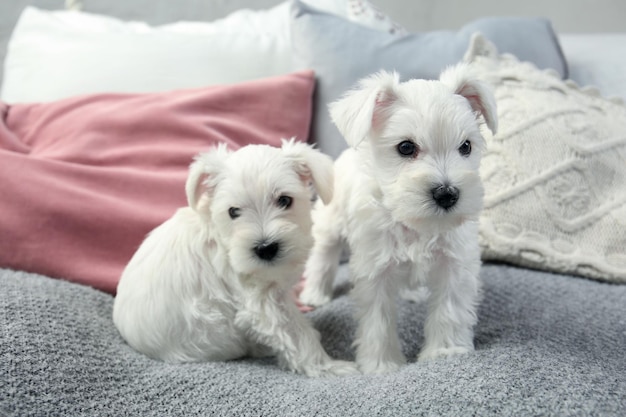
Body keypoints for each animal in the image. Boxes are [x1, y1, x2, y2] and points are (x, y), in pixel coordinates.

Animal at [112, 140, 356, 376]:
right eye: (233, 211)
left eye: (285, 200)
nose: (266, 248)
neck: (221, 238)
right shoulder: (263, 303)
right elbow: (299, 335)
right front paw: (332, 367)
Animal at [300, 64, 494, 374]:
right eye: (405, 147)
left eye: (466, 146)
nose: (447, 194)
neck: (414, 222)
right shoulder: (374, 268)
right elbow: (378, 320)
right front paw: (381, 364)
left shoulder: (454, 262)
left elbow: (449, 309)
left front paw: (445, 351)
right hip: (330, 223)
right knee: (323, 256)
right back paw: (315, 293)